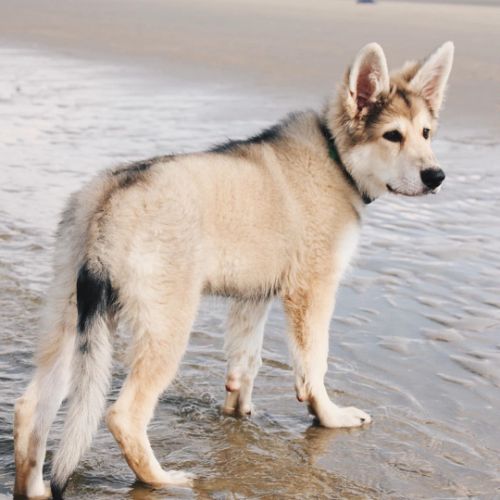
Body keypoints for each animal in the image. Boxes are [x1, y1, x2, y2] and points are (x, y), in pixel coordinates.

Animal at [14, 41, 454, 498]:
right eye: (392, 135)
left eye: (426, 133)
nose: (436, 176)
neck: (335, 159)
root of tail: (111, 197)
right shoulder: (312, 290)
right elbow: (314, 364)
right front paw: (330, 416)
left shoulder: (253, 297)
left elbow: (246, 363)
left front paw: (239, 416)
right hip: (166, 326)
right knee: (124, 416)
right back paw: (164, 480)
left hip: (70, 319)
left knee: (30, 407)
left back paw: (36, 487)